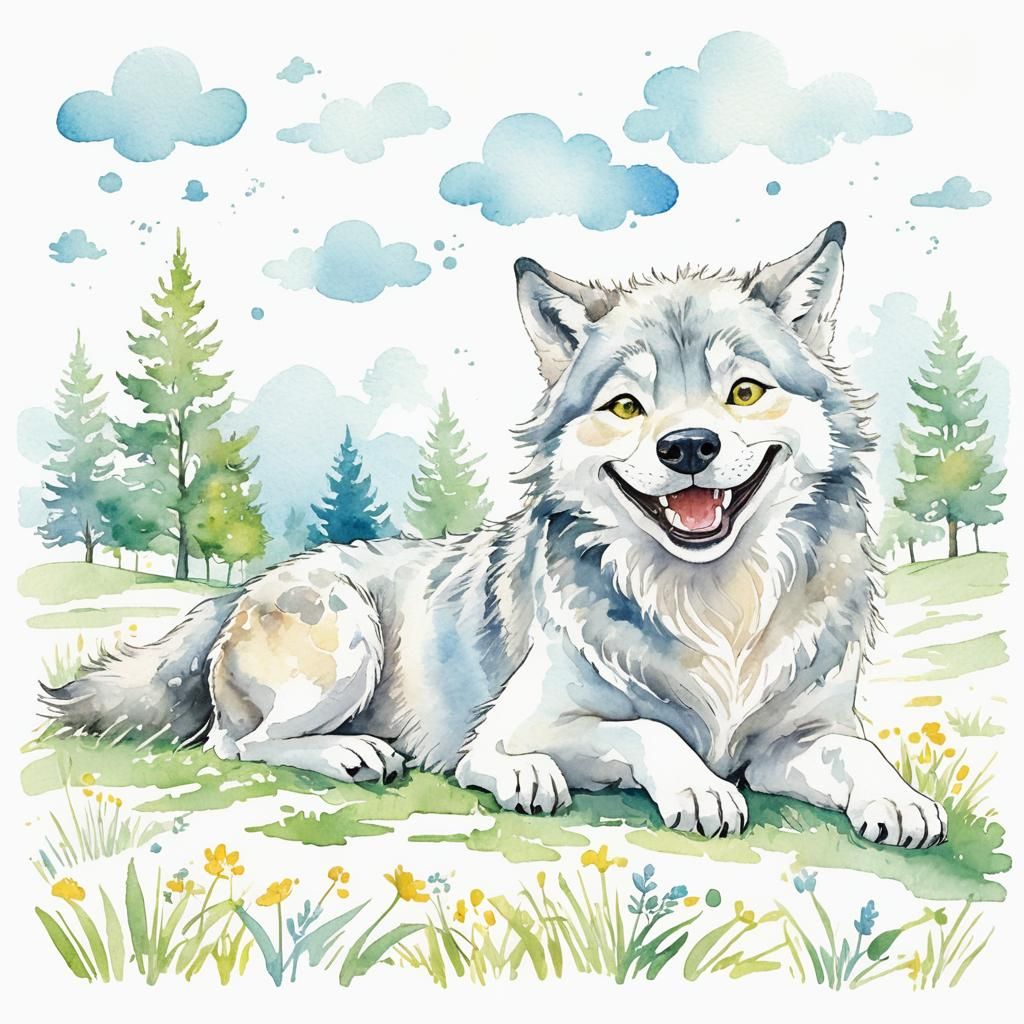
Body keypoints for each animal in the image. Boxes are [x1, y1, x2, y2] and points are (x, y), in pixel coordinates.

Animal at [45, 223, 946, 848]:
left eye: (745, 391)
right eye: (627, 405)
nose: (687, 447)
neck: (711, 608)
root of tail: (241, 590)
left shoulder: (802, 738)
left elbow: (861, 756)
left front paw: (901, 800)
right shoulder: (514, 729)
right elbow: (647, 731)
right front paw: (692, 787)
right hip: (348, 630)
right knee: (240, 743)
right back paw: (358, 756)